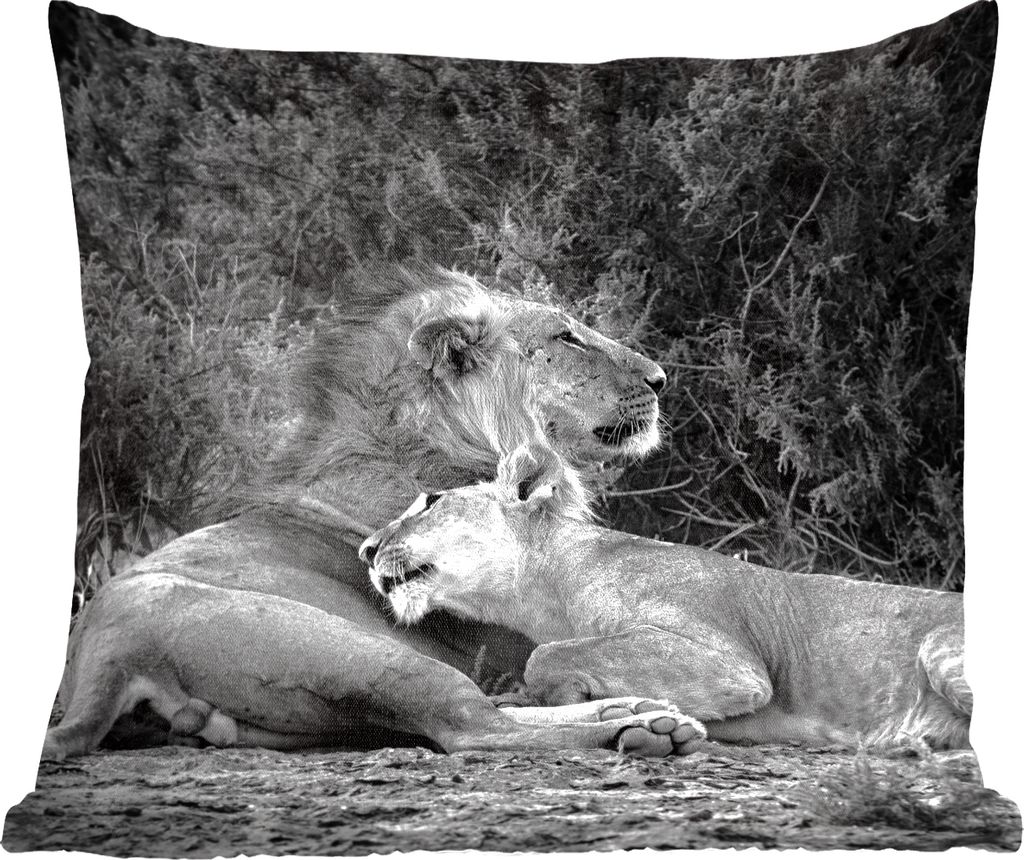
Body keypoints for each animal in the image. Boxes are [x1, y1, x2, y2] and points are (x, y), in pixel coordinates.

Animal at [44, 264, 708, 759]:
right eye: (565, 336)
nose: (660, 378)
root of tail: (105, 646)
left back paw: (634, 709)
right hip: (367, 652)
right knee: (473, 725)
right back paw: (641, 728)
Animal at [361, 444, 972, 750]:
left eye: (431, 500)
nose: (366, 550)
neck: (553, 591)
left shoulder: (731, 664)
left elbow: (547, 656)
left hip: (938, 647)